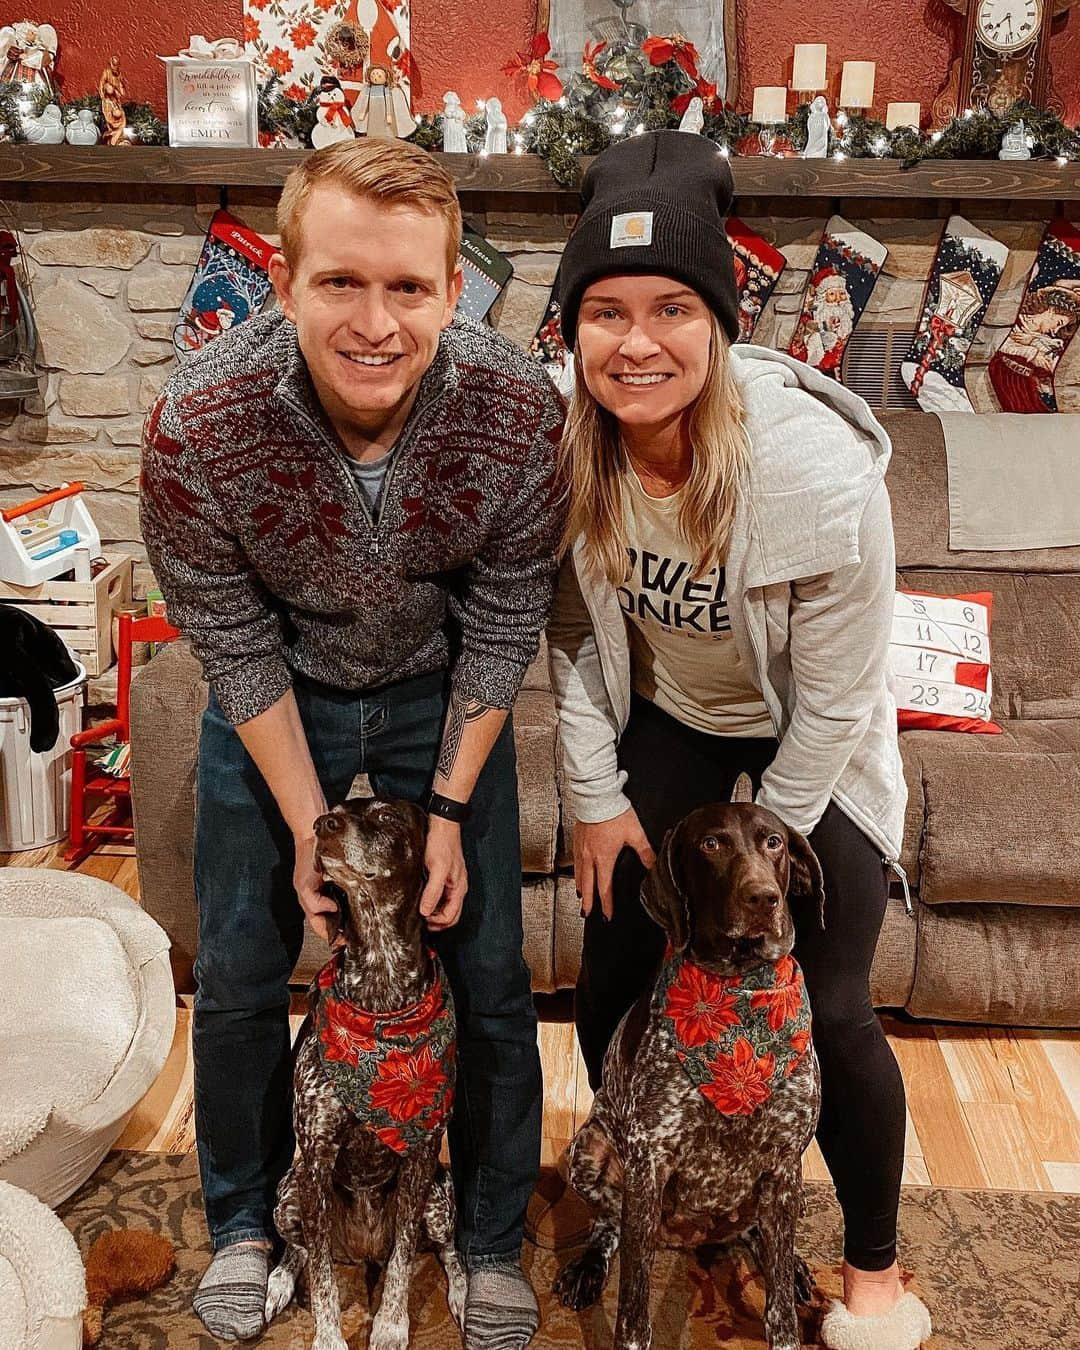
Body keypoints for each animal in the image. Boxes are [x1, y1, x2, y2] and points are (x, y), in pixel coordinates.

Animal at [263, 793, 467, 1350]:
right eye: (334, 807)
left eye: (387, 816)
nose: (321, 824)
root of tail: (361, 1251)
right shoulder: (315, 1159)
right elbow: (324, 1282)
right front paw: (329, 1338)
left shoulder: (421, 1158)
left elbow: (401, 1261)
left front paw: (392, 1326)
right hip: (289, 1194)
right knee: (303, 1252)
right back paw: (278, 1283)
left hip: (441, 1198)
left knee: (446, 1253)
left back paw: (464, 1298)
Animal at [556, 777, 826, 1350]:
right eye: (712, 844)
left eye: (774, 842)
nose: (763, 898)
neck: (737, 993)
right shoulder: (649, 1162)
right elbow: (633, 1310)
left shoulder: (784, 1161)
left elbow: (779, 1312)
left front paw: (785, 1308)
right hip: (590, 1150)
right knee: (608, 1226)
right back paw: (588, 1267)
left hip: (783, 1189)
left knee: (763, 1239)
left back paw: (790, 1267)